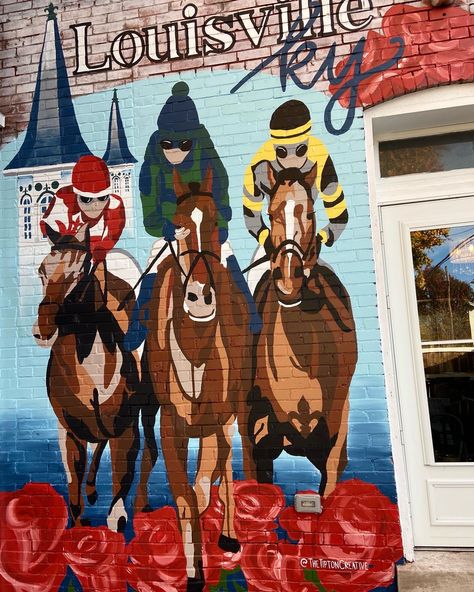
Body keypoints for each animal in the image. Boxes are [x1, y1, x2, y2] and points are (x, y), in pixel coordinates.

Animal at [33, 224, 141, 528]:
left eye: (81, 269)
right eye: (42, 270)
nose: (42, 329)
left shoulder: (125, 429)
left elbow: (118, 507)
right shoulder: (70, 432)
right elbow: (74, 498)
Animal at [135, 169, 254, 588]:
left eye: (218, 222)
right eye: (179, 225)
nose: (200, 297)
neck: (195, 347)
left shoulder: (217, 418)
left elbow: (202, 487)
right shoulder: (171, 422)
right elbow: (185, 497)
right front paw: (192, 572)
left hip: (233, 412)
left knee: (229, 463)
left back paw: (229, 534)